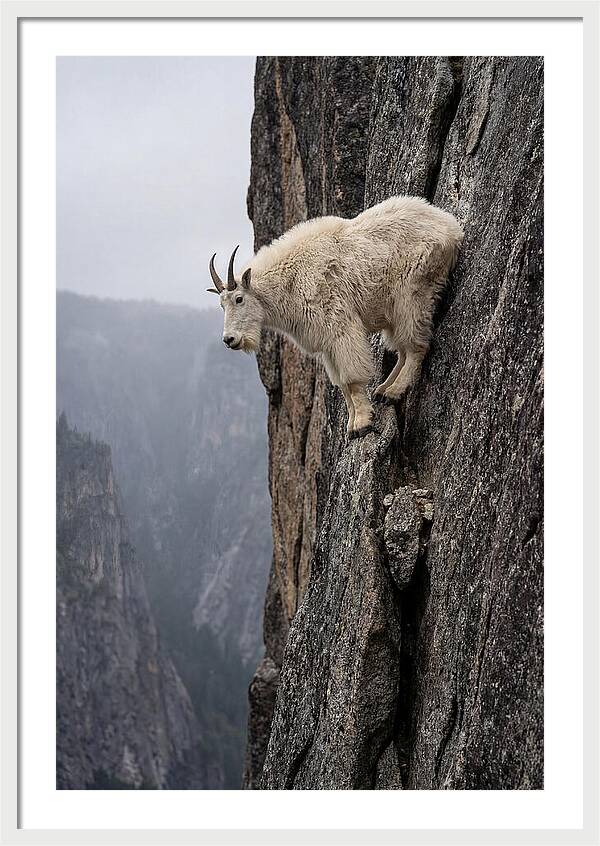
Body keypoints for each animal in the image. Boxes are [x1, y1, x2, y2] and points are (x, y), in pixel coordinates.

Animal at [208, 196, 463, 438]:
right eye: (221, 305)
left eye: (239, 299)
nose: (229, 340)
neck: (290, 280)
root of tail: (451, 227)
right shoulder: (326, 344)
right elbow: (341, 384)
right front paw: (351, 425)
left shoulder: (340, 327)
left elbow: (351, 379)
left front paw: (362, 424)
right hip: (393, 310)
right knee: (401, 348)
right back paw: (383, 389)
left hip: (412, 293)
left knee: (416, 346)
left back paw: (393, 392)